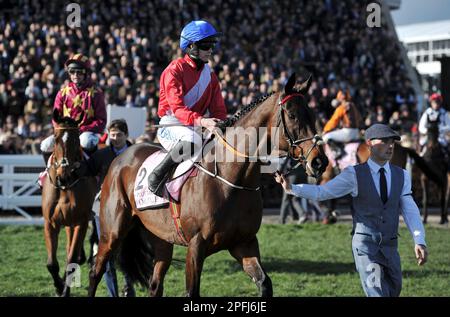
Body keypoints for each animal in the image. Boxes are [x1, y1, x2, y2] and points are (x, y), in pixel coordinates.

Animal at [40, 110, 96, 296]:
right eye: (56, 139)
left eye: (76, 140)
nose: (63, 176)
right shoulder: (51, 223)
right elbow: (51, 263)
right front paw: (58, 286)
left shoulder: (81, 222)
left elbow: (72, 260)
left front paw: (64, 289)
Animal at [88, 73, 326, 296]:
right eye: (292, 115)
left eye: (313, 115)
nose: (319, 161)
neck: (232, 180)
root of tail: (120, 157)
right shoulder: (196, 246)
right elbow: (192, 291)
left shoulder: (244, 243)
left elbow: (264, 283)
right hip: (112, 232)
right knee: (96, 271)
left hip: (162, 238)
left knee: (155, 285)